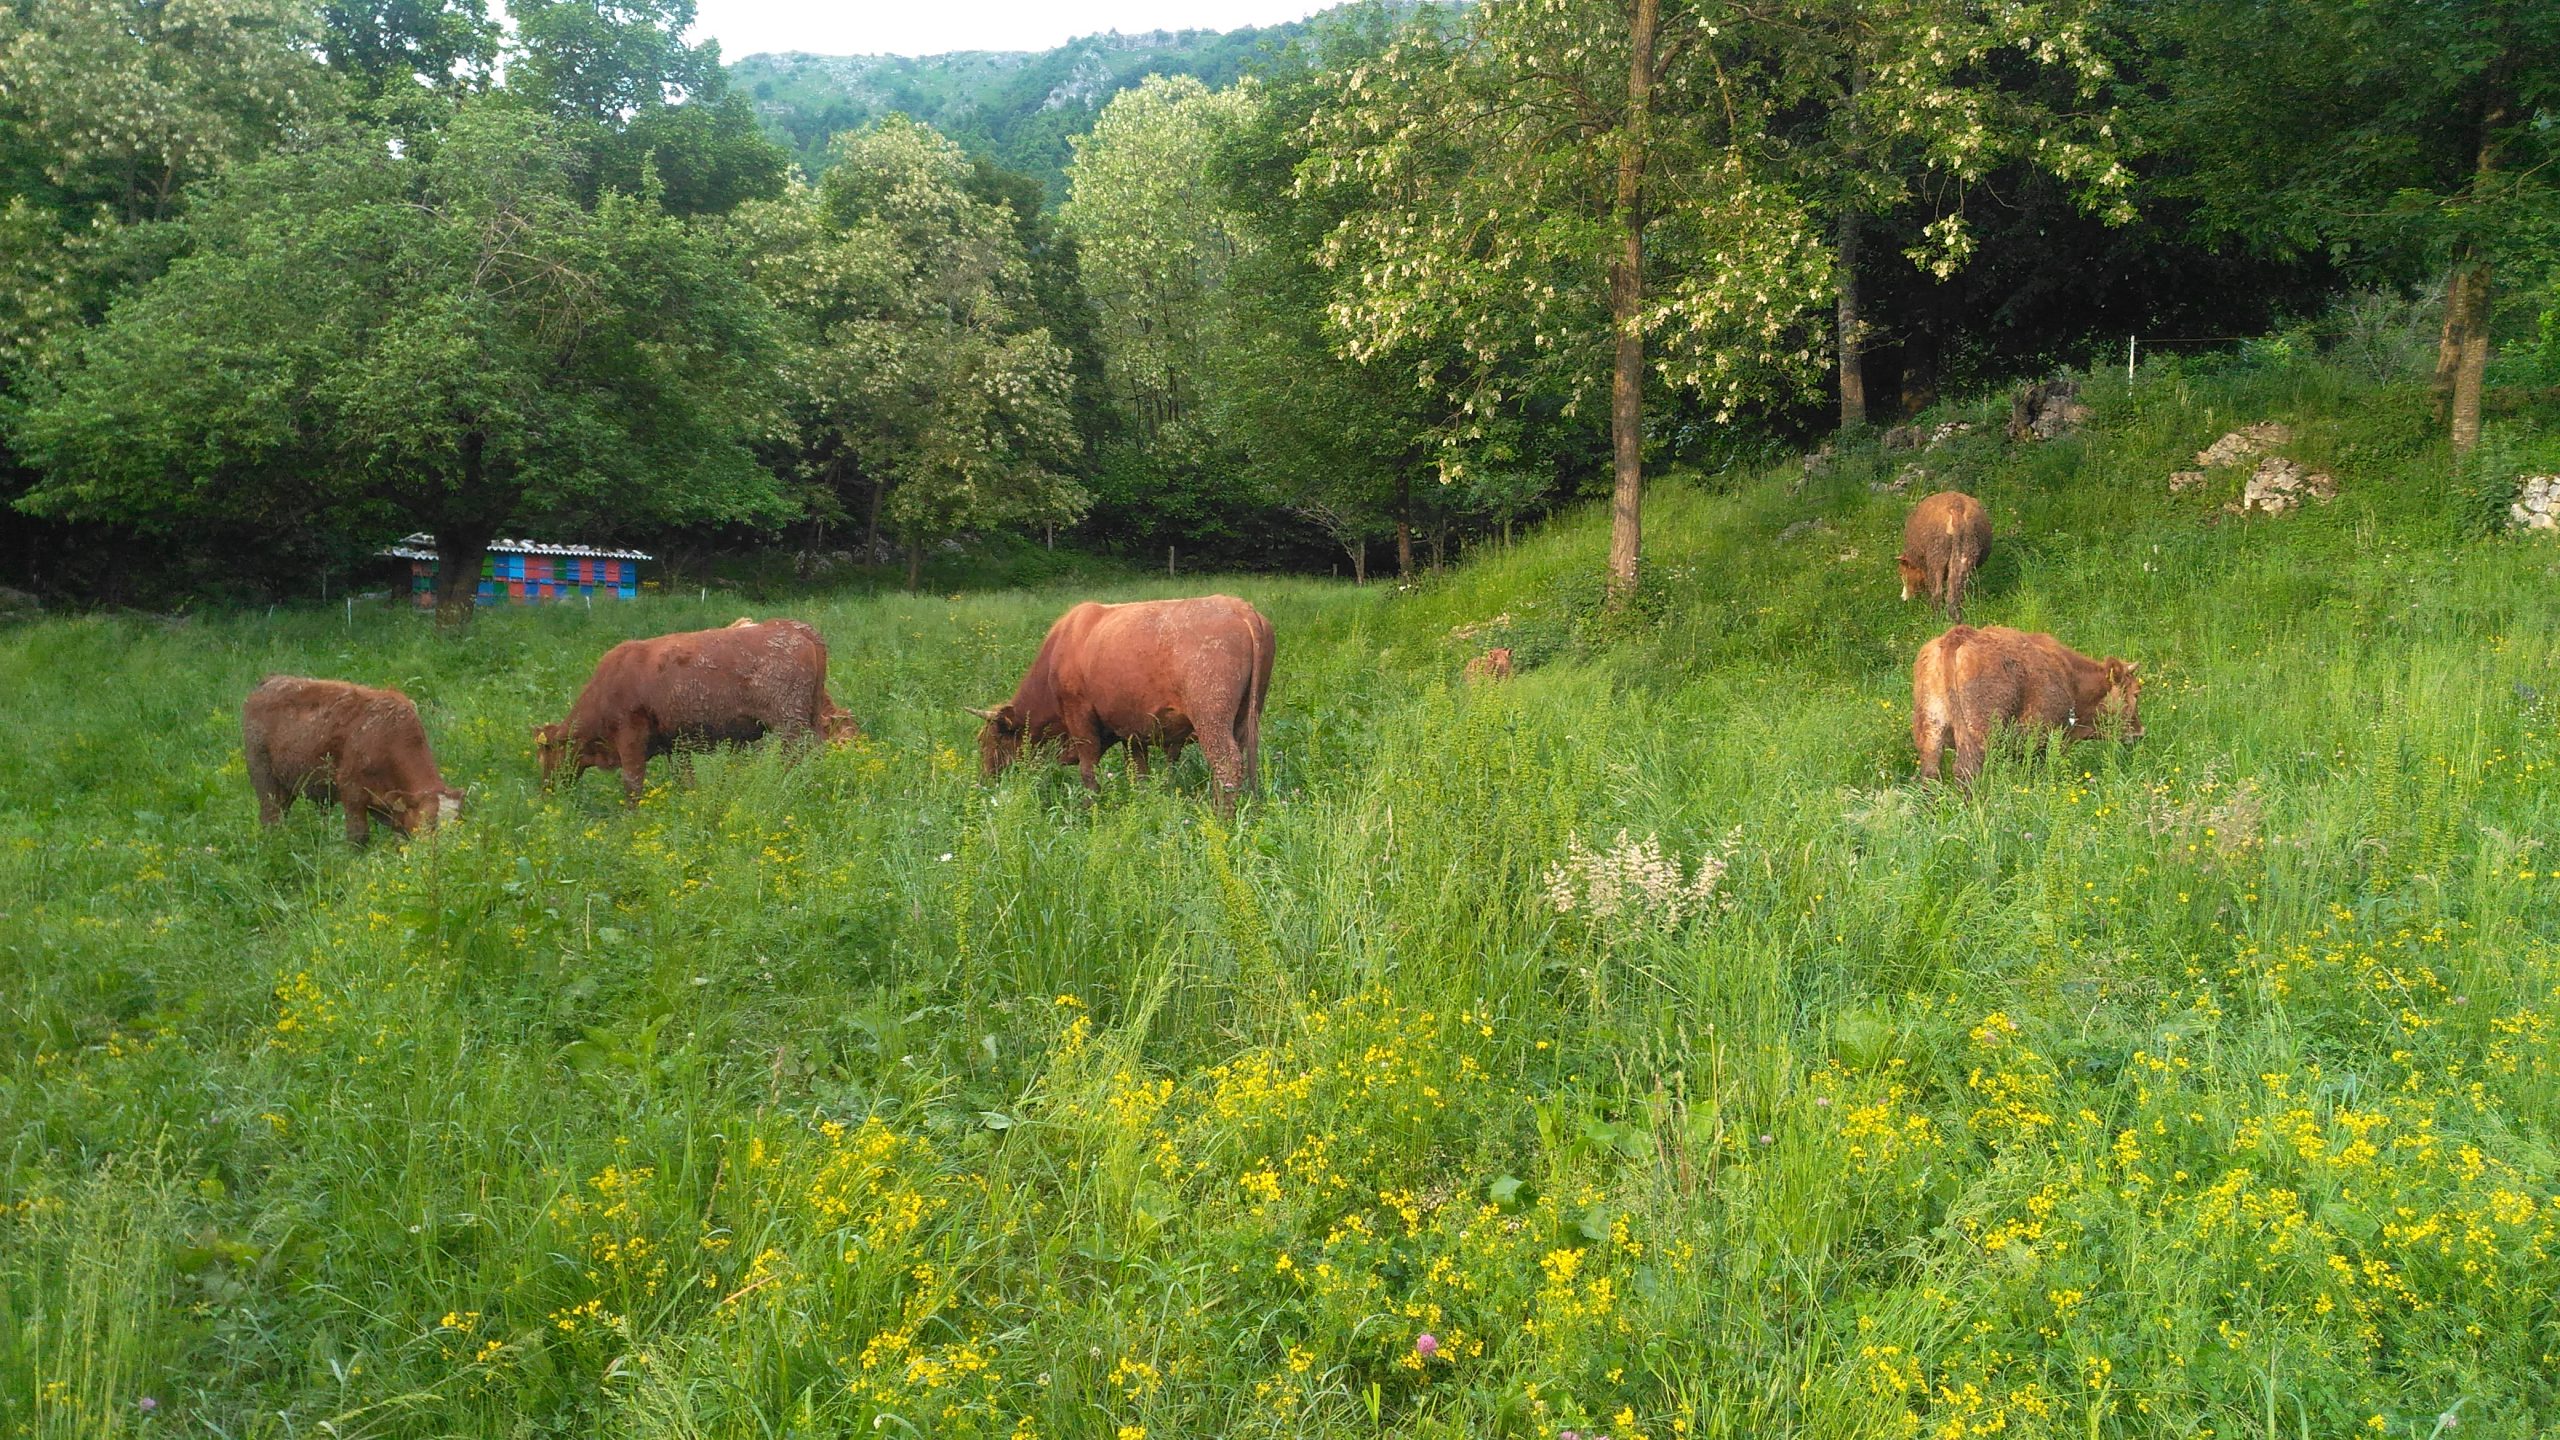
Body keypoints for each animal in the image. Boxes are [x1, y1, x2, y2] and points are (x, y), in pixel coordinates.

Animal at [241, 671, 463, 840]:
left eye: (456, 827)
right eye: (426, 826)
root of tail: (272, 680)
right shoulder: (352, 793)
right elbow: (359, 837)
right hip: (264, 779)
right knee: (271, 817)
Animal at [535, 614, 855, 794]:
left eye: (544, 755)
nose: (547, 790)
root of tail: (794, 628)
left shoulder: (630, 737)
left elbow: (632, 782)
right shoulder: (674, 743)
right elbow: (684, 779)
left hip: (790, 724)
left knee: (799, 756)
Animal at [962, 594, 1274, 814]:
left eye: (988, 741)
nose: (984, 783)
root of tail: (1240, 607)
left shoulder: (1080, 718)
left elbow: (1088, 769)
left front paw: (1090, 808)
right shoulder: (1131, 731)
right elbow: (1139, 771)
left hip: (1211, 718)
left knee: (1226, 762)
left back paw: (1220, 817)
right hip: (1246, 716)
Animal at [1904, 489, 1996, 620]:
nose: (1905, 598)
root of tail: (1957, 507)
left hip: (1937, 554)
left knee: (1937, 593)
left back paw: (1937, 618)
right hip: (1965, 552)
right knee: (1955, 593)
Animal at [1925, 622, 2140, 784]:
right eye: (2137, 692)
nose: (2140, 732)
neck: (2072, 679)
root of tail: (1960, 636)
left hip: (1931, 729)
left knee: (1931, 771)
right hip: (1980, 732)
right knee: (1967, 769)